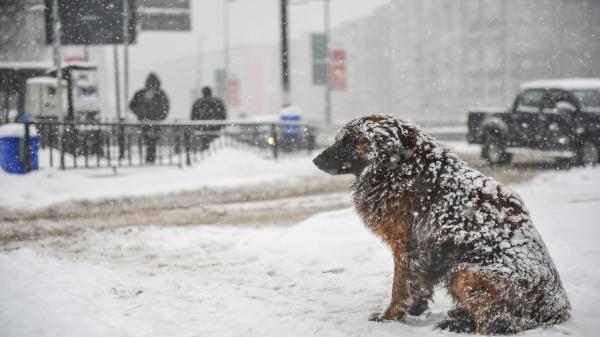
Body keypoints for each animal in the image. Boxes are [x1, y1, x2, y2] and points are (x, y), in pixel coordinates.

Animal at [312, 115, 568, 334]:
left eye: (350, 141)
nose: (315, 160)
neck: (401, 168)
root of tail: (558, 308)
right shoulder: (424, 253)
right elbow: (420, 286)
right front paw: (415, 310)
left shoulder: (407, 247)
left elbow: (401, 287)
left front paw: (389, 318)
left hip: (465, 272)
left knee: (501, 322)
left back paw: (461, 324)